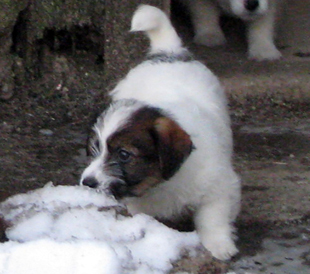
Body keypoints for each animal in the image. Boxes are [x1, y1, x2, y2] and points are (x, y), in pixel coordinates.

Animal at [79, 4, 240, 262]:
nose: (87, 183)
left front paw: (219, 245)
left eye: (124, 154)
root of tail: (168, 52)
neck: (161, 183)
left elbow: (212, 217)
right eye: (95, 148)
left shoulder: (220, 187)